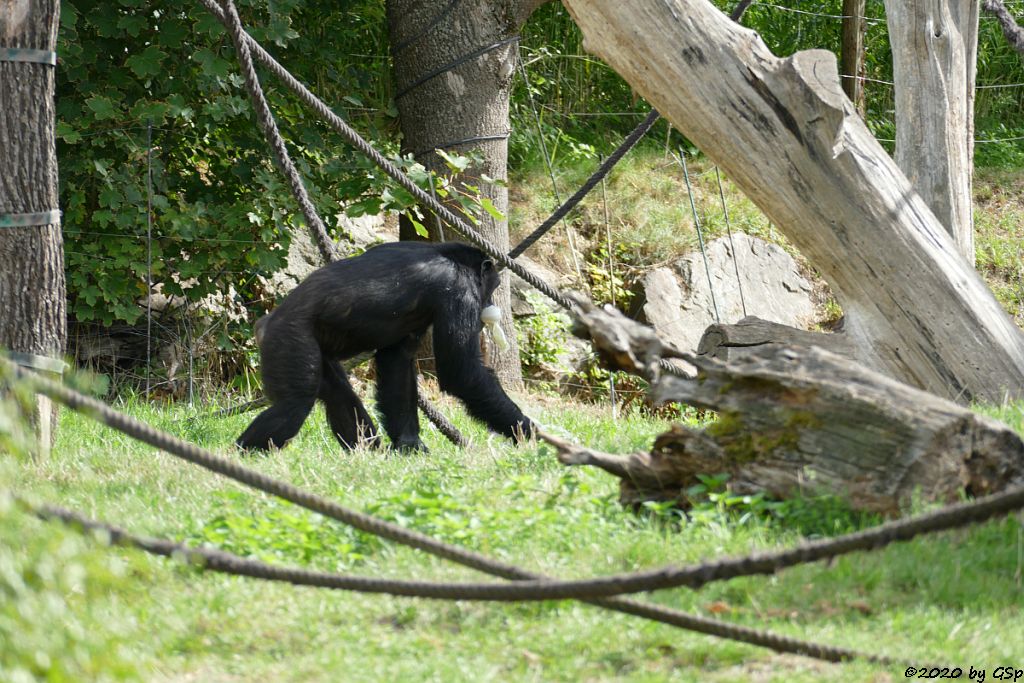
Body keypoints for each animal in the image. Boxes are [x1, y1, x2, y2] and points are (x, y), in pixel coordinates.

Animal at [234, 241, 532, 454]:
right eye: (492, 286)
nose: (489, 303)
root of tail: (263, 324)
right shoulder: (459, 291)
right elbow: (462, 370)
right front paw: (527, 430)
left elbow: (397, 362)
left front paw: (410, 445)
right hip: (289, 340)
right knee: (293, 404)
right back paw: (243, 456)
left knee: (337, 394)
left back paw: (368, 453)